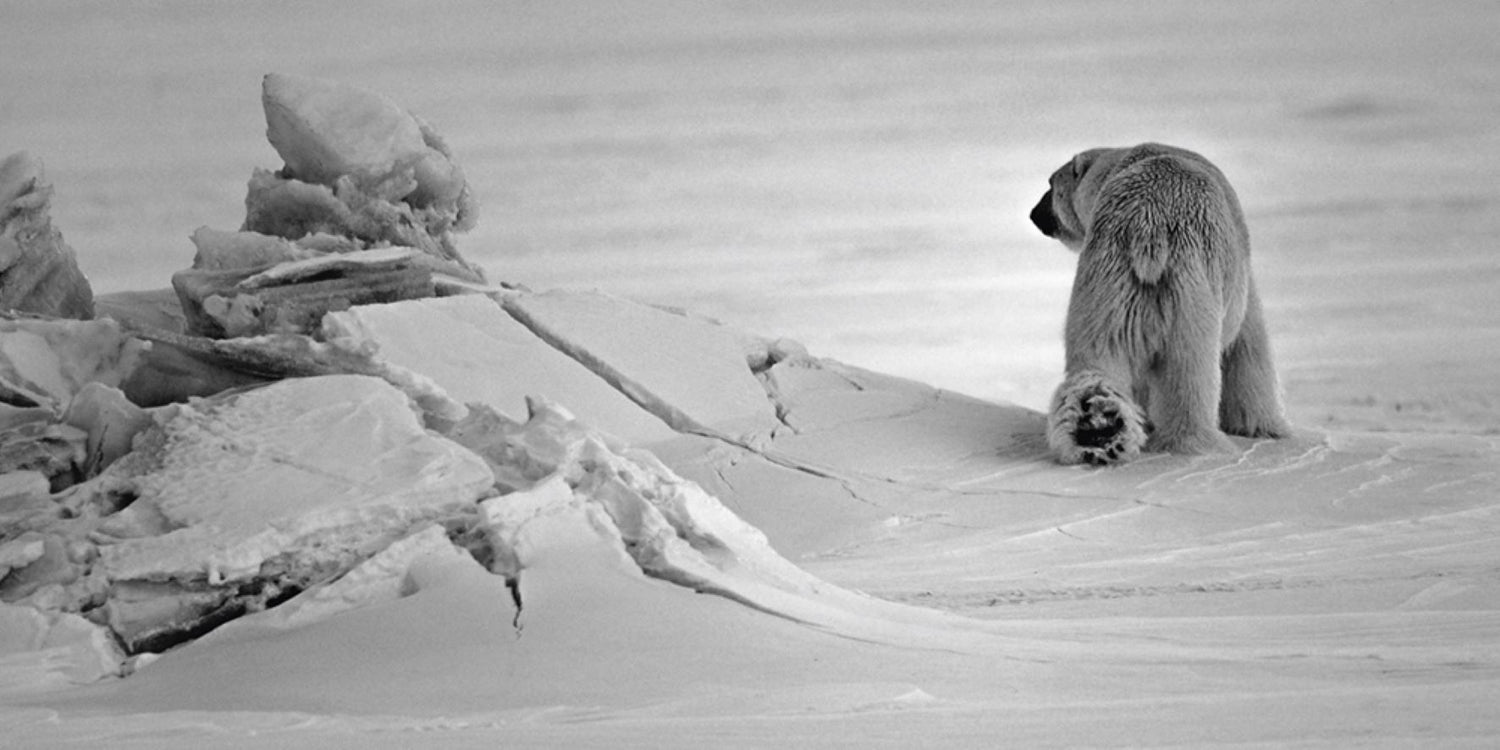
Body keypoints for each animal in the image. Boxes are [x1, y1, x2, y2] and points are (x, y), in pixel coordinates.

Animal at [1032, 141, 1290, 462]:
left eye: (1050, 184)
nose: (1034, 214)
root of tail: (1147, 226)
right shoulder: (1238, 279)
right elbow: (1248, 347)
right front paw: (1264, 427)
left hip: (1107, 283)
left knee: (1097, 354)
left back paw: (1098, 427)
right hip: (1189, 291)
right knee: (1189, 368)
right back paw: (1192, 442)